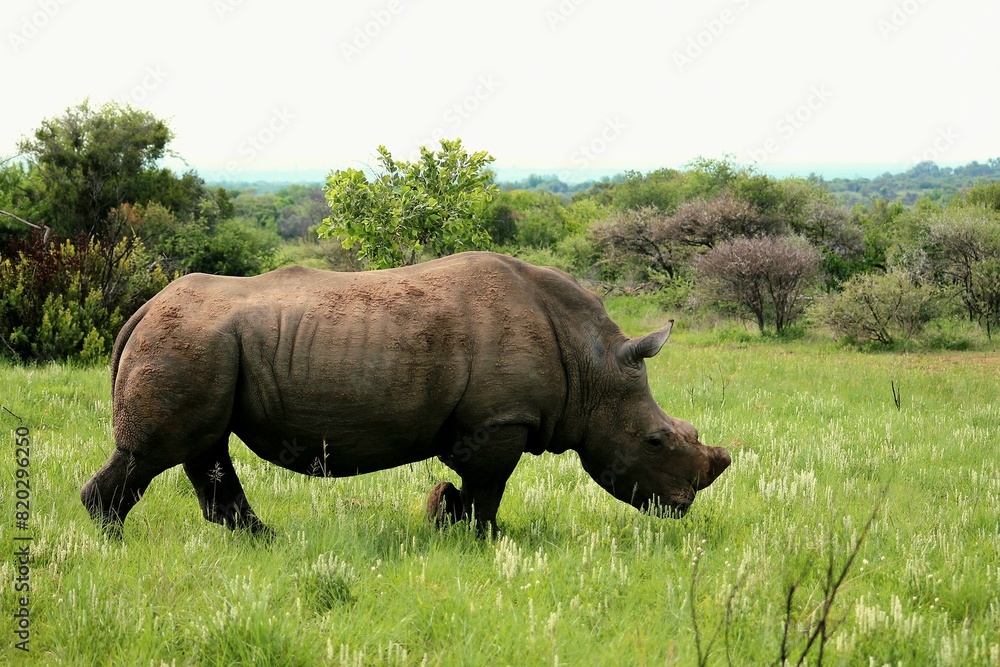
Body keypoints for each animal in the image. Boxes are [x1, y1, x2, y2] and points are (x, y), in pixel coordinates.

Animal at [81, 251, 730, 537]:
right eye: (656, 440)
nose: (683, 507)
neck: (592, 363)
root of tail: (142, 310)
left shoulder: (486, 422)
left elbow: (473, 485)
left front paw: (446, 520)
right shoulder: (502, 420)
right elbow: (489, 489)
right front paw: (483, 540)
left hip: (202, 344)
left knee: (204, 447)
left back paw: (262, 541)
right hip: (189, 340)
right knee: (156, 453)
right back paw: (113, 541)